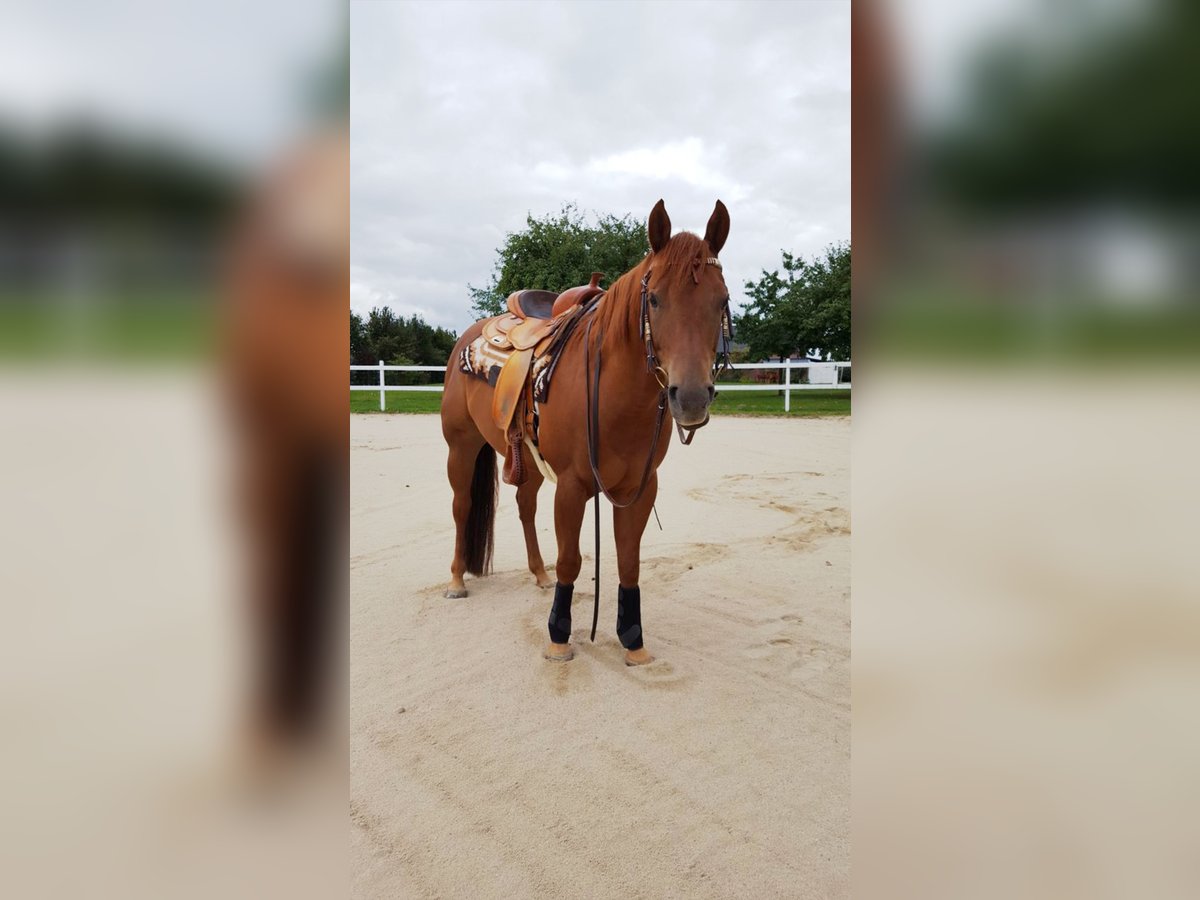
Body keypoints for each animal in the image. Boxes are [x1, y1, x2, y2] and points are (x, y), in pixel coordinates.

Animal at [436, 200, 724, 667]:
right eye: (655, 298)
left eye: (722, 300)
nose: (693, 397)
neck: (613, 393)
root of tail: (468, 336)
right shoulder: (572, 486)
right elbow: (570, 560)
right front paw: (558, 637)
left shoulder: (640, 487)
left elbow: (628, 560)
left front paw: (633, 640)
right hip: (461, 446)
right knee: (462, 507)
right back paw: (458, 581)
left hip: (526, 461)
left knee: (525, 507)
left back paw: (538, 574)